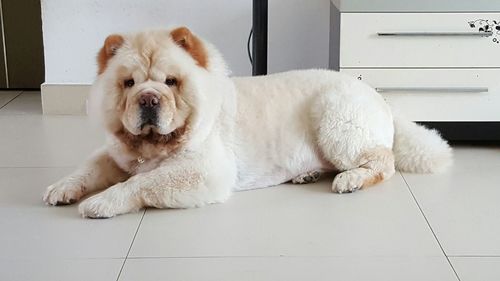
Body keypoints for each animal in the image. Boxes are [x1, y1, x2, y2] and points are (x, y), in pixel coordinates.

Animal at [43, 26, 454, 219]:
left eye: (170, 82)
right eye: (128, 84)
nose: (148, 99)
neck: (151, 146)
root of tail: (379, 96)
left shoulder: (203, 170)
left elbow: (141, 182)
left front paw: (100, 202)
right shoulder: (116, 153)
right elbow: (89, 167)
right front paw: (62, 188)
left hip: (335, 119)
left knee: (383, 160)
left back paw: (349, 179)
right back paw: (307, 173)